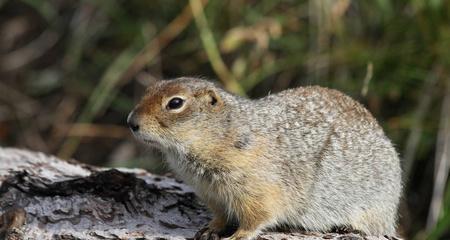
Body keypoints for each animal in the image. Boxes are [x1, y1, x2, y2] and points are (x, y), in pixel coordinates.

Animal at [126, 78, 400, 239]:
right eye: (147, 91)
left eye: (175, 103)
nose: (130, 122)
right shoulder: (210, 193)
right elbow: (220, 215)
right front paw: (210, 228)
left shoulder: (258, 187)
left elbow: (257, 216)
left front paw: (238, 235)